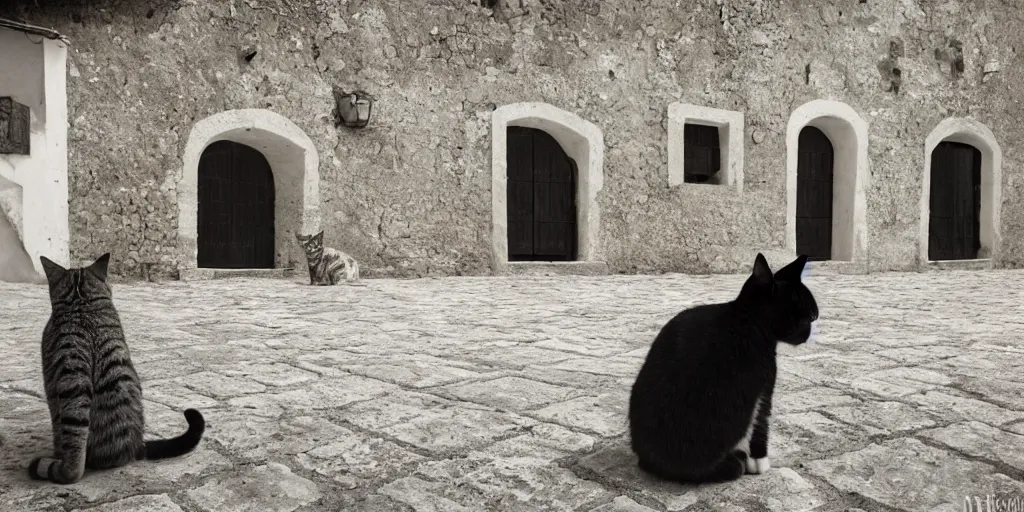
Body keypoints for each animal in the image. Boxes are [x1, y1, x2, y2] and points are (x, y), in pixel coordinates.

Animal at [626, 252, 819, 483]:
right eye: (808, 318)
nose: (809, 333)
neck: (746, 316)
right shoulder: (765, 386)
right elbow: (761, 424)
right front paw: (760, 462)